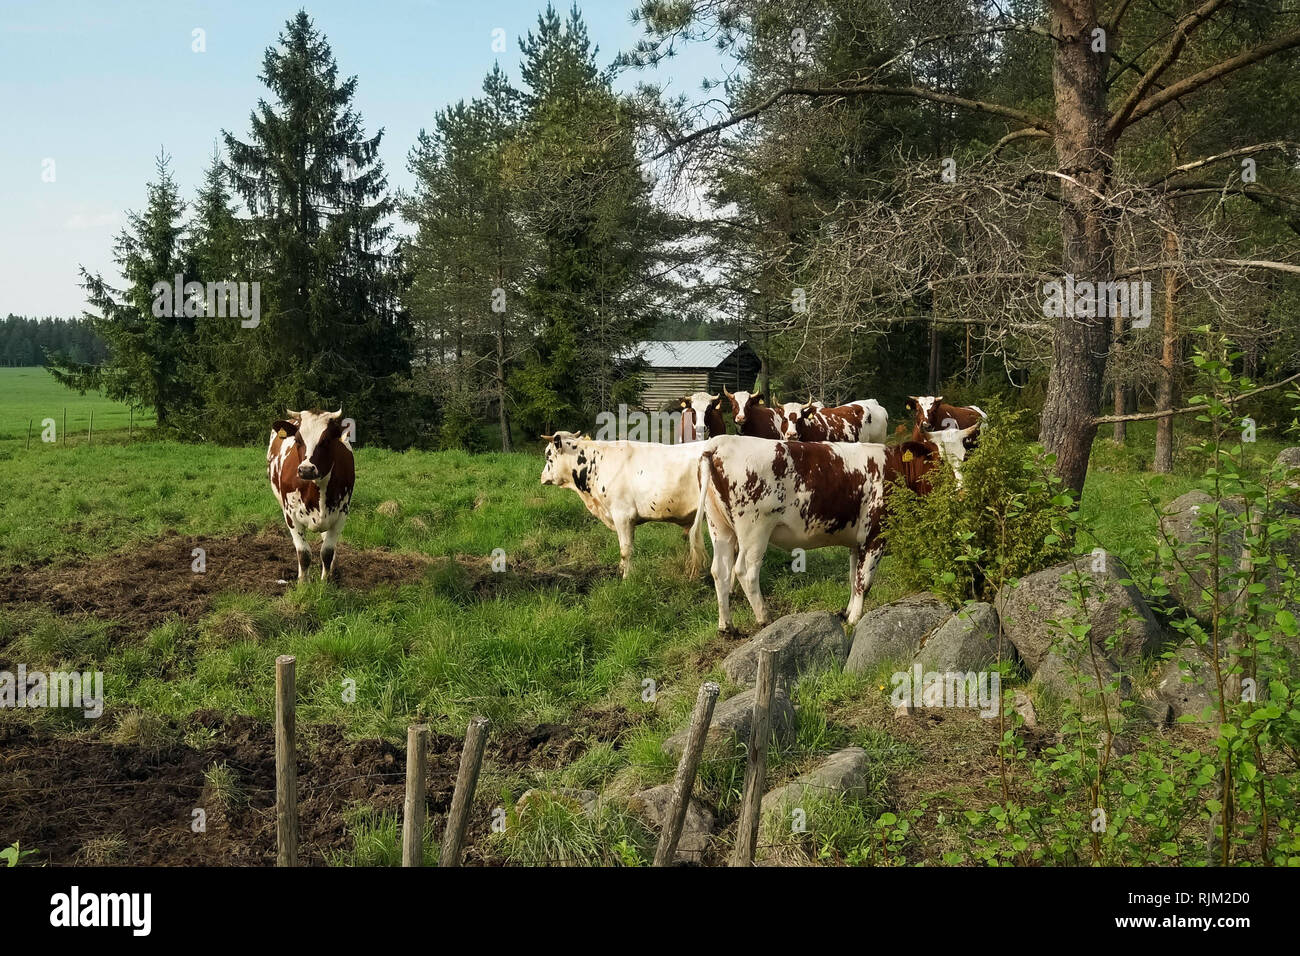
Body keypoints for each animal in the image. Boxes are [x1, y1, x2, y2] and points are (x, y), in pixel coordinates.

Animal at [267, 408, 356, 580]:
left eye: (326, 440)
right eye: (297, 440)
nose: (306, 469)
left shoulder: (341, 514)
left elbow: (327, 552)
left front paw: (325, 582)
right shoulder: (291, 516)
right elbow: (304, 554)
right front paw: (302, 583)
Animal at [540, 431, 712, 580]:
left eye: (548, 456)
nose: (541, 477)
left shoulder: (623, 515)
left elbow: (625, 550)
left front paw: (626, 578)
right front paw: (622, 570)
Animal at [686, 434, 941, 632]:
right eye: (935, 460)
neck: (893, 468)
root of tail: (720, 442)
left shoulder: (856, 543)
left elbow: (853, 578)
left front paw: (846, 612)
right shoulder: (875, 536)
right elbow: (864, 582)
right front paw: (855, 619)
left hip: (720, 528)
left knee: (720, 571)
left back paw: (726, 627)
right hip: (755, 529)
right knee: (745, 571)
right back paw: (764, 617)